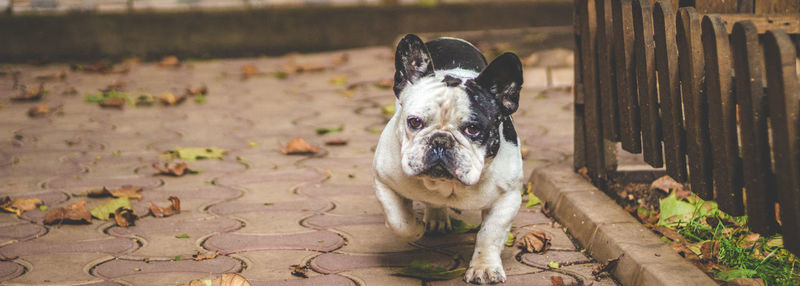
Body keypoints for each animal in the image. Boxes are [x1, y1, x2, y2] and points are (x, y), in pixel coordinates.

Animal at [374, 34, 524, 284]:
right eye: (414, 122)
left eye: (473, 129)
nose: (441, 140)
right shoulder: (384, 181)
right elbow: (399, 221)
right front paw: (416, 228)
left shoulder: (508, 198)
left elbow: (490, 234)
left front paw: (484, 267)